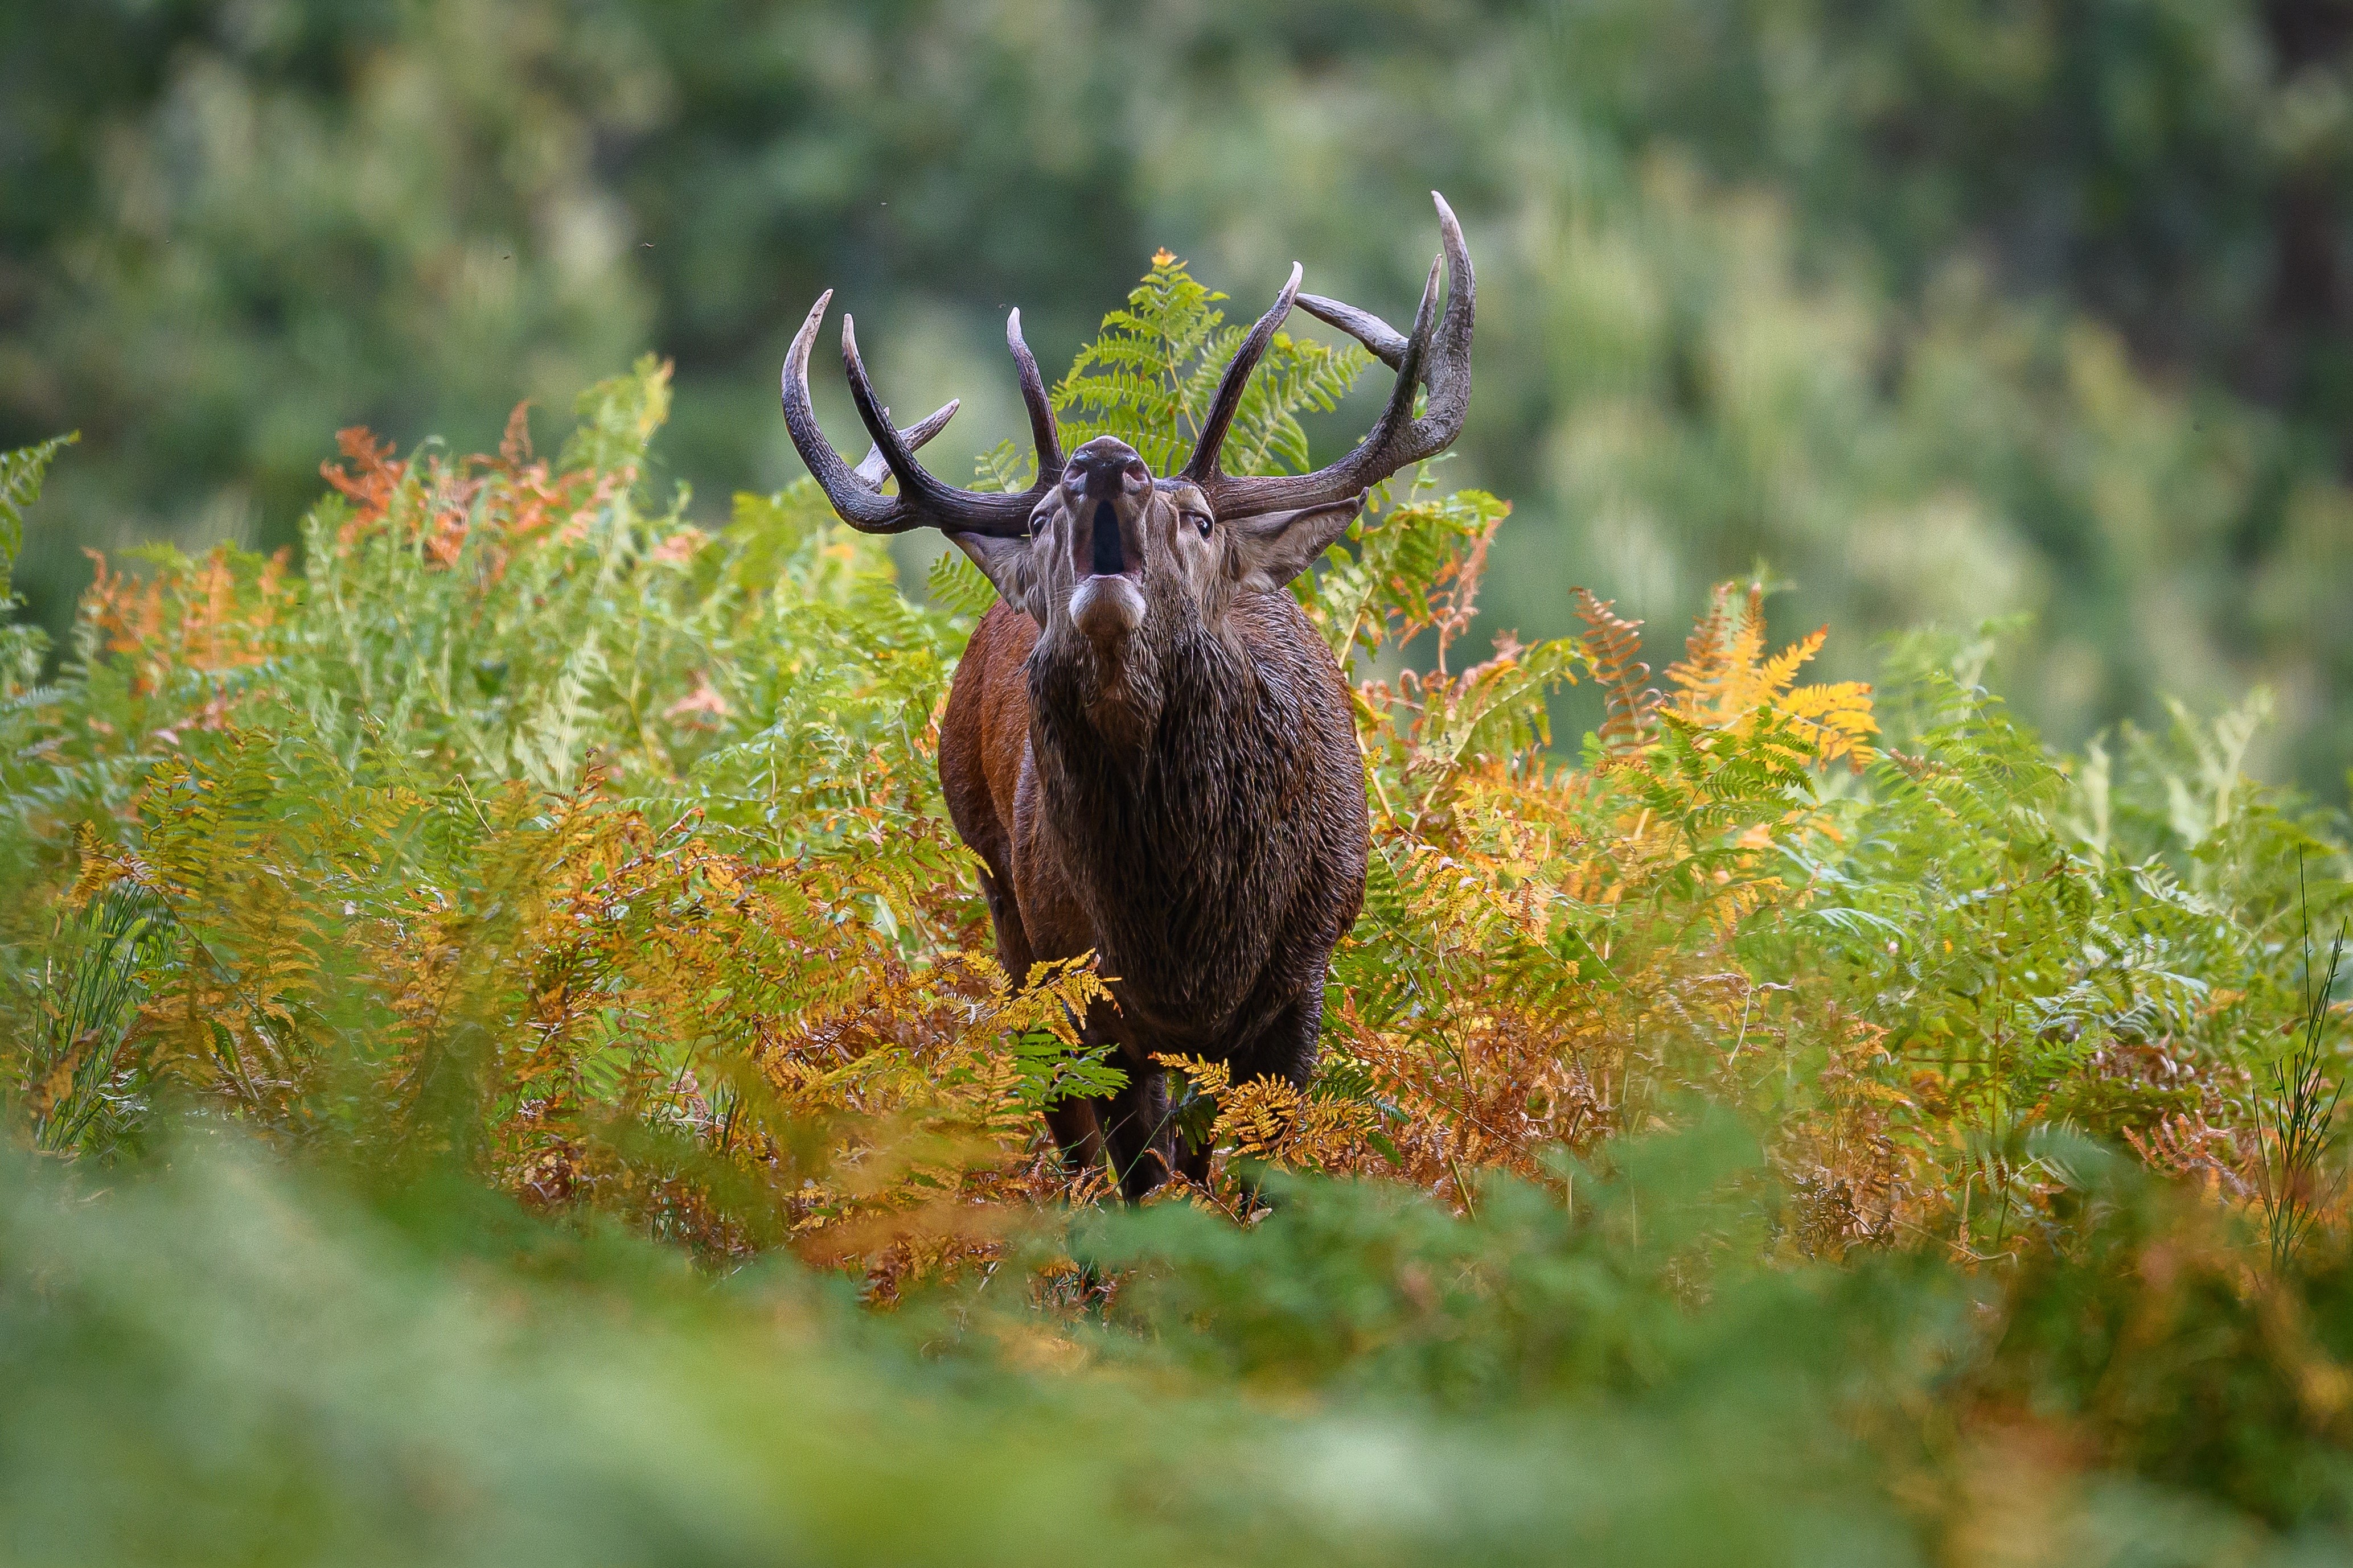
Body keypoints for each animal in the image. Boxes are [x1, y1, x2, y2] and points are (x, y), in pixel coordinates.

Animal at [779, 194, 1474, 1199]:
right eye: (1037, 521)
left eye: (1202, 519)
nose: (1105, 460)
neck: (1185, 941)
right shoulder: (1090, 985)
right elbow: (1143, 1179)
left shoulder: (1303, 970)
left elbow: (1256, 1173)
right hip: (1003, 903)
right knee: (1064, 1126)